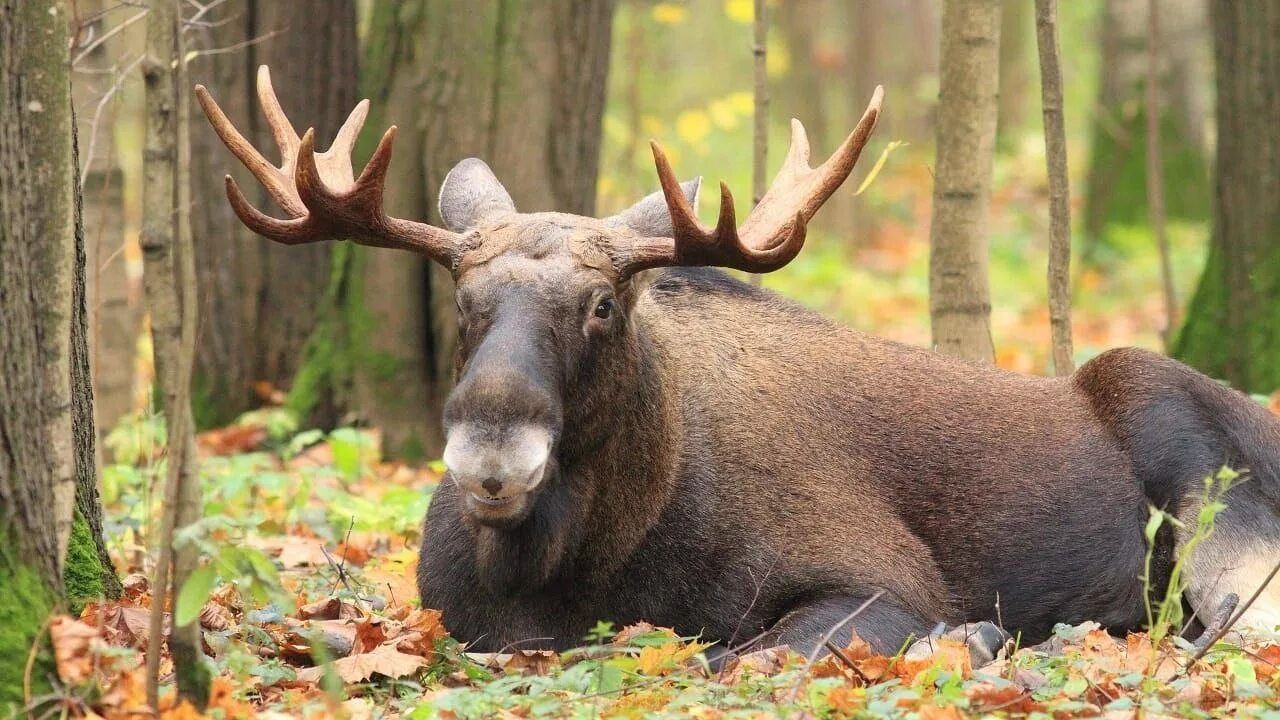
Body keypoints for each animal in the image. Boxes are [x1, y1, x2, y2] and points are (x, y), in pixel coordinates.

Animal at [197, 68, 1280, 661]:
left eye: (604, 304)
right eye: (463, 303)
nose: (491, 452)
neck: (566, 570)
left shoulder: (882, 580)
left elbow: (739, 659)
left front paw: (969, 639)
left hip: (1194, 459)